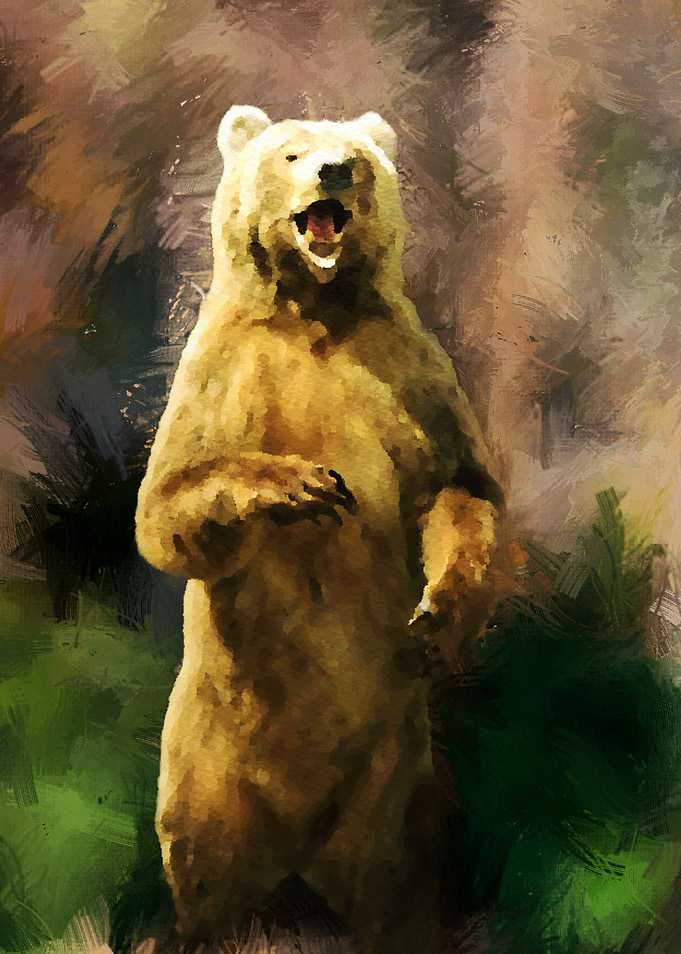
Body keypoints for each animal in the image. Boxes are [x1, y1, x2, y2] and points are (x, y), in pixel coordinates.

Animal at [135, 105, 503, 953]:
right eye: (292, 153)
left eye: (355, 158)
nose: (333, 171)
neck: (315, 311)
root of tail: (299, 856)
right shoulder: (222, 376)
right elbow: (166, 509)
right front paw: (299, 483)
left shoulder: (407, 370)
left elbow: (459, 487)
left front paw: (439, 616)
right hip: (205, 766)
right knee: (201, 863)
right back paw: (185, 930)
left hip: (394, 776)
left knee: (399, 869)